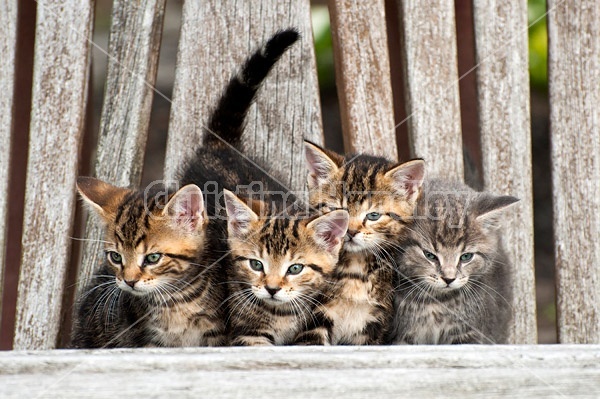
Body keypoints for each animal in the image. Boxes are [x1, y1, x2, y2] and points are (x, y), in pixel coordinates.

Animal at [294, 142, 424, 346]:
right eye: (337, 210)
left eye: (373, 215)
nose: (351, 232)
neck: (355, 269)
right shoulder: (314, 317)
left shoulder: (375, 322)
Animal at [390, 180, 516, 346]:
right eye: (430, 255)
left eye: (466, 257)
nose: (449, 279)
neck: (437, 300)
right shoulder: (403, 336)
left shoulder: (469, 333)